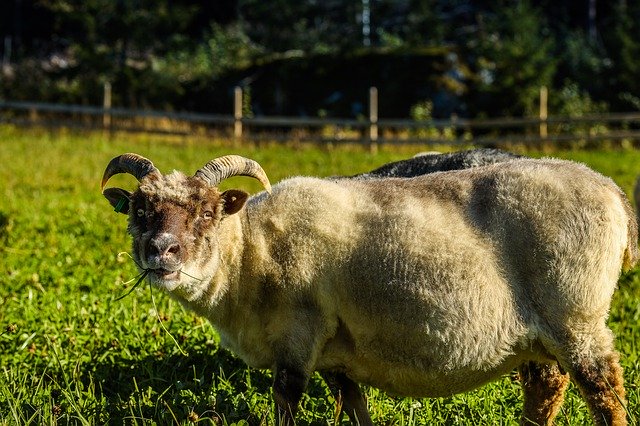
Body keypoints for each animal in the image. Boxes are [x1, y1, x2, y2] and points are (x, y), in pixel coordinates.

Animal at [101, 151, 636, 424]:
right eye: (140, 210)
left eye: (209, 212)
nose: (162, 251)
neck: (251, 253)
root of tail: (610, 189)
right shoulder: (336, 355)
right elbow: (355, 408)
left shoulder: (297, 341)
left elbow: (286, 405)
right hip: (541, 334)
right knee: (547, 388)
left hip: (577, 317)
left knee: (605, 390)